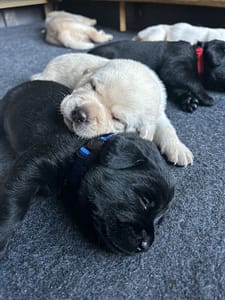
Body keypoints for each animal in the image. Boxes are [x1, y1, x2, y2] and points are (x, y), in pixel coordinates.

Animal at [0, 81, 175, 256]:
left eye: (159, 220)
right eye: (144, 201)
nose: (145, 246)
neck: (85, 149)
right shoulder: (35, 163)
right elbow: (14, 202)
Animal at [89, 38, 225, 111]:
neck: (198, 56)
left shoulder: (173, 84)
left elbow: (180, 90)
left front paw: (189, 100)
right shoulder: (174, 67)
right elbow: (193, 81)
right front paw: (206, 97)